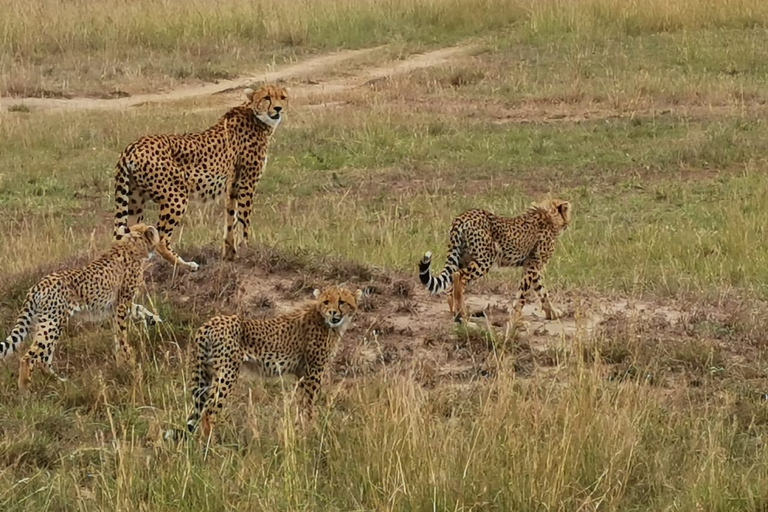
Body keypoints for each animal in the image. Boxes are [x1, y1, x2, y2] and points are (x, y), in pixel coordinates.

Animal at [115, 84, 292, 272]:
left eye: (282, 97)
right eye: (267, 97)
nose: (278, 108)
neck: (257, 117)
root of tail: (132, 147)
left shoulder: (233, 185)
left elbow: (231, 218)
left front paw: (230, 253)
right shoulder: (247, 184)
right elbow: (244, 219)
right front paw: (250, 250)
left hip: (134, 202)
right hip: (176, 197)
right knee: (161, 239)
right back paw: (186, 265)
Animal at [171, 284, 364, 440]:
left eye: (341, 302)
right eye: (326, 302)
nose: (333, 313)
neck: (326, 321)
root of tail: (209, 323)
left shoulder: (302, 374)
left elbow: (301, 404)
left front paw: (298, 429)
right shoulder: (313, 372)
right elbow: (309, 404)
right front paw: (310, 430)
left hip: (207, 373)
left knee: (198, 410)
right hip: (227, 373)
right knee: (209, 411)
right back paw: (212, 447)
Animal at [420, 199, 568, 324]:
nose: (567, 225)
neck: (548, 216)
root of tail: (462, 217)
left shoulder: (532, 266)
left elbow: (542, 291)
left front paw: (552, 313)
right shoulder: (533, 265)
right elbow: (523, 294)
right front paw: (517, 320)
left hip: (462, 258)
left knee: (451, 283)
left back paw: (457, 313)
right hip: (485, 260)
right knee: (459, 277)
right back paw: (461, 314)